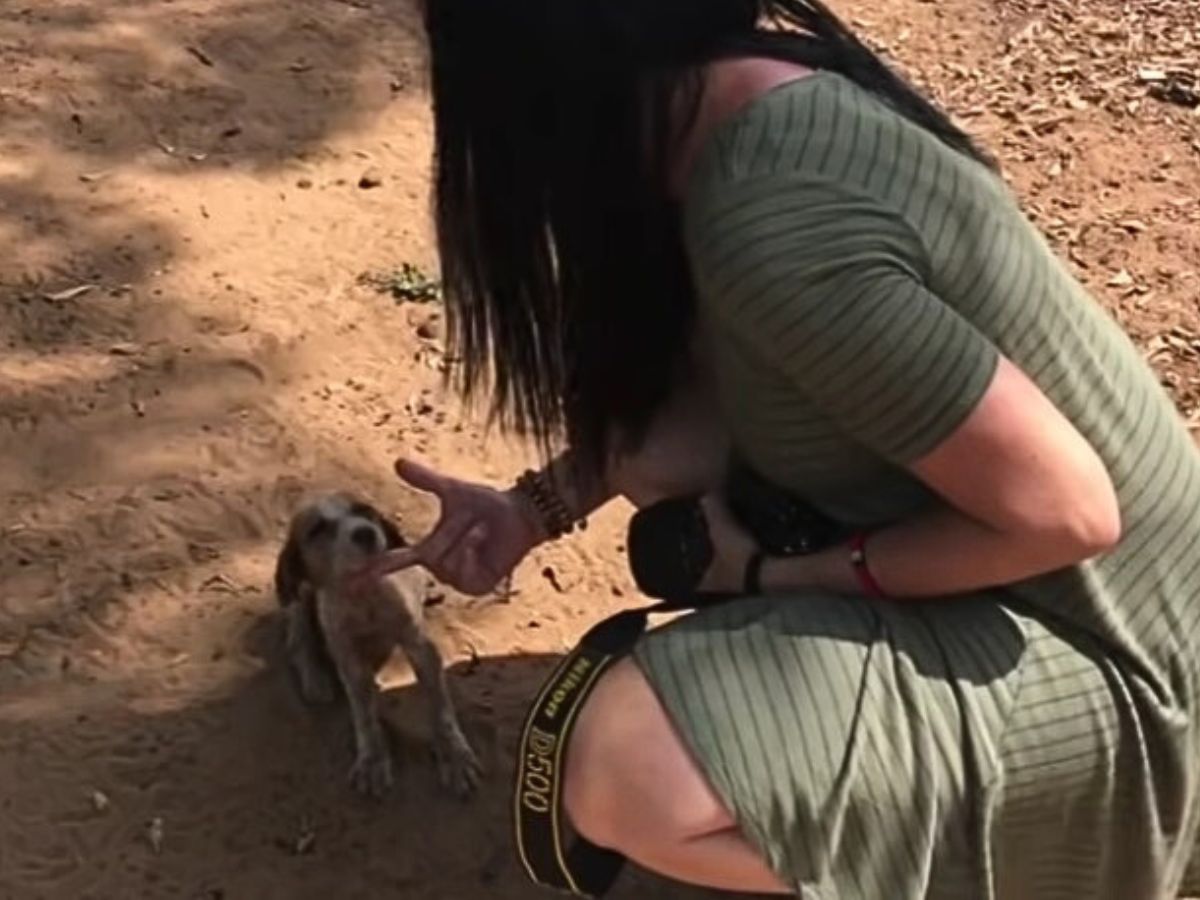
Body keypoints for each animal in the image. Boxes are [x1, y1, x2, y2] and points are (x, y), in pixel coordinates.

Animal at [274, 496, 480, 801]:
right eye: (317, 529)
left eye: (365, 511)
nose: (365, 532)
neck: (366, 599)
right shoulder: (350, 660)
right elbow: (364, 715)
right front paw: (372, 759)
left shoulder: (421, 647)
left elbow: (441, 707)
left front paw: (454, 754)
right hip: (301, 597)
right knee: (298, 639)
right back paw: (315, 677)